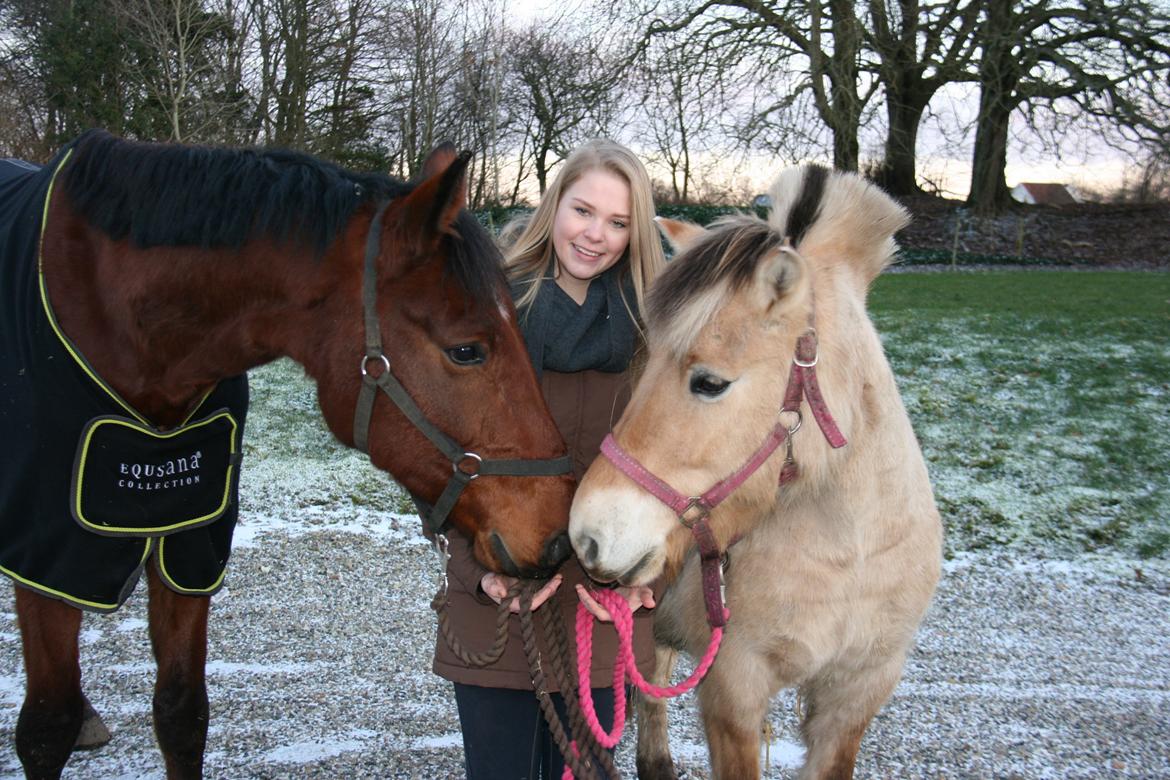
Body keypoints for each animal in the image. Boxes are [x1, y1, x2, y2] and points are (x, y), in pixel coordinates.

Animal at [1, 130, 575, 776]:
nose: (560, 537)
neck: (128, 325)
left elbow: (181, 713)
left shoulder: (191, 545)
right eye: (467, 350)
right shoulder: (46, 558)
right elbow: (46, 727)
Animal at [570, 166, 945, 780]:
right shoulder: (734, 689)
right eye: (641, 369)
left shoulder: (857, 692)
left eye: (709, 382)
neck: (849, 551)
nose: (587, 534)